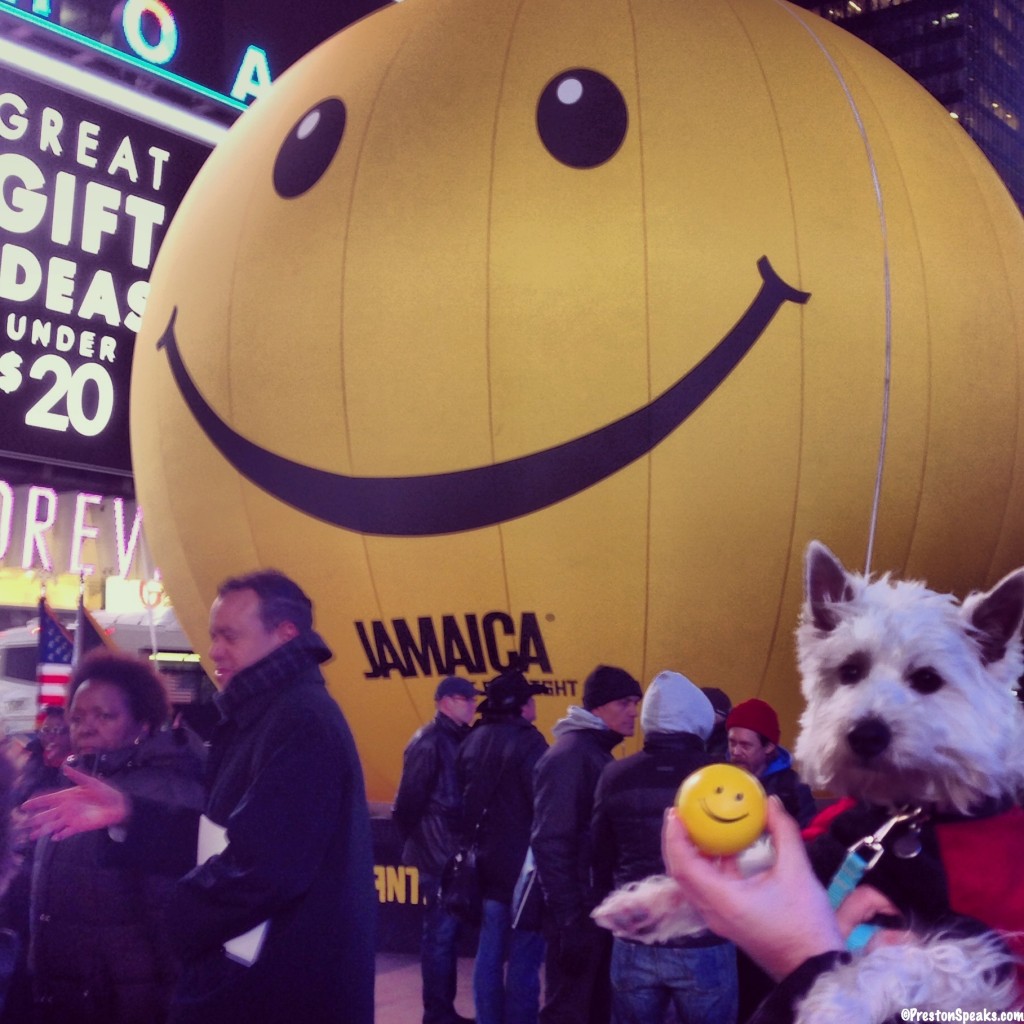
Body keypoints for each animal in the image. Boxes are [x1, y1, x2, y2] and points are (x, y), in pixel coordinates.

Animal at [593, 540, 1024, 1019]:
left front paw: (830, 1002)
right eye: (850, 670)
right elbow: (757, 863)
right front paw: (643, 904)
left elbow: (904, 961)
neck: (906, 816)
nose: (865, 734)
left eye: (928, 679)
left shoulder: (986, 940)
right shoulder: (827, 851)